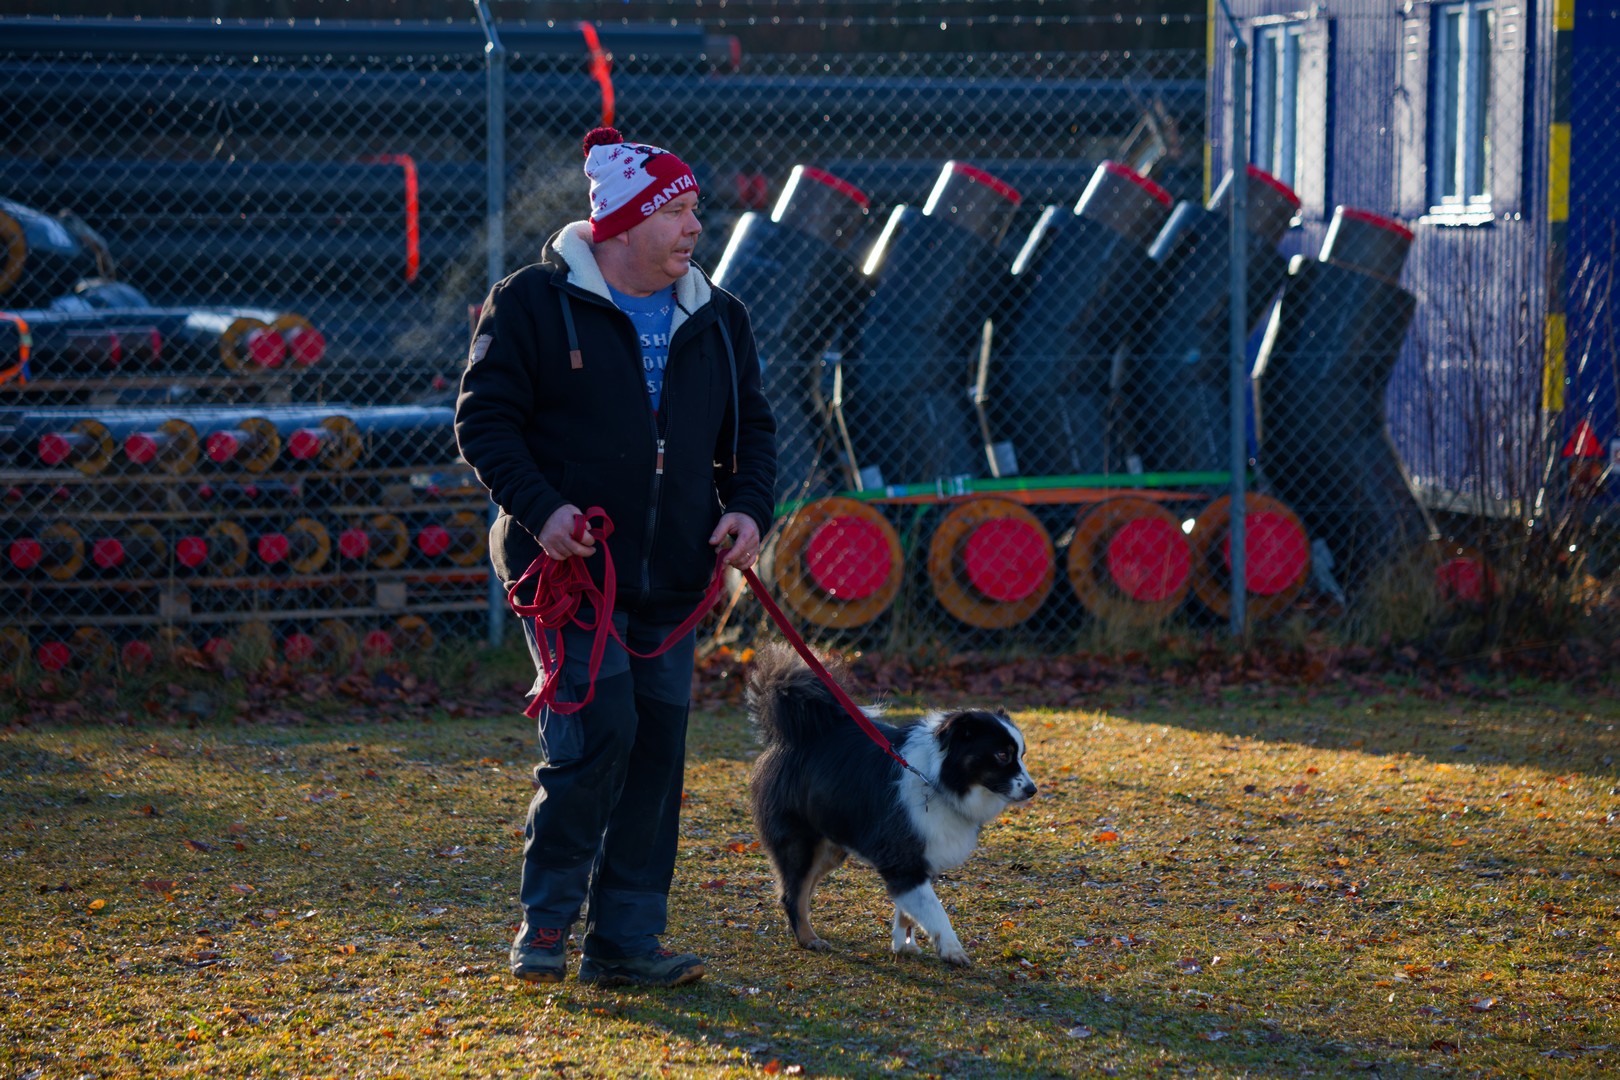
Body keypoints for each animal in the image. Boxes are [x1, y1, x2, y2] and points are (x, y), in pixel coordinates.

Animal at [744, 643, 1037, 966]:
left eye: (1020, 754)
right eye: (1001, 755)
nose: (1032, 790)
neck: (936, 780)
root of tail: (790, 736)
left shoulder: (917, 859)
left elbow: (908, 912)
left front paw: (904, 944)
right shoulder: (903, 860)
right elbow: (935, 910)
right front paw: (951, 949)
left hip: (832, 844)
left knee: (800, 890)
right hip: (802, 840)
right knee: (792, 892)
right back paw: (808, 938)